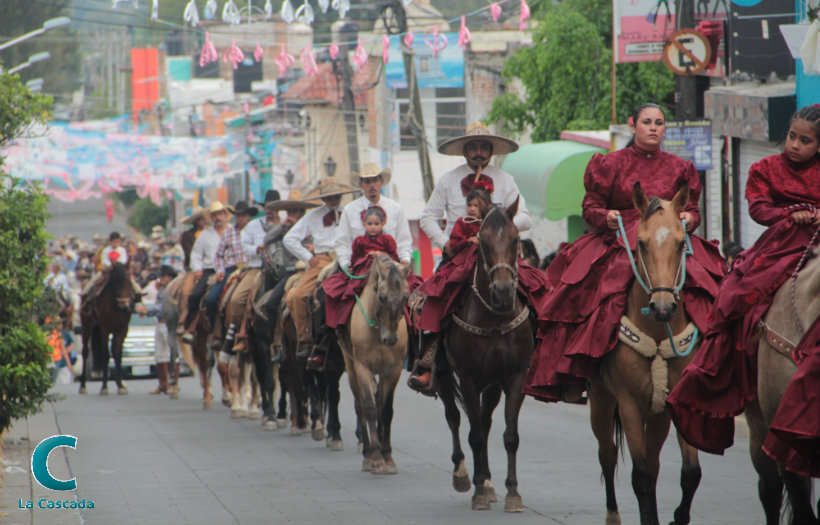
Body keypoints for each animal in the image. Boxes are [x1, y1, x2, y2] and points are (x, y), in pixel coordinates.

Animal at [79, 262, 135, 392]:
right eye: (117, 283)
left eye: (129, 282)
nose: (125, 306)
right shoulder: (105, 329)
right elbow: (105, 355)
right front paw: (104, 386)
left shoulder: (122, 329)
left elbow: (118, 354)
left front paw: (121, 386)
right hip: (87, 325)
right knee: (85, 352)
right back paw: (83, 385)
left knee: (113, 350)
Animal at [334, 252, 408, 472]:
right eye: (381, 297)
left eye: (405, 297)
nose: (391, 340)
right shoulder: (362, 368)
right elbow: (369, 409)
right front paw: (375, 456)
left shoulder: (393, 370)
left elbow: (386, 410)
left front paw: (387, 456)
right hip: (350, 366)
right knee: (359, 406)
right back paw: (367, 452)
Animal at [436, 199, 532, 510]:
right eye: (482, 242)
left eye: (515, 240)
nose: (502, 291)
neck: (494, 318)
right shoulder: (467, 378)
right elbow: (474, 435)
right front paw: (477, 491)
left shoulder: (515, 377)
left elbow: (509, 435)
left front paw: (512, 493)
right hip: (444, 376)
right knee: (455, 418)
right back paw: (465, 475)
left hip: (491, 384)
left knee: (485, 421)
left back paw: (488, 480)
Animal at [588, 181, 704, 524]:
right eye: (640, 242)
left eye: (681, 244)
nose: (662, 307)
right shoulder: (628, 403)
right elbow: (639, 475)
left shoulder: (678, 402)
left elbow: (690, 473)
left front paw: (678, 516)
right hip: (601, 400)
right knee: (608, 454)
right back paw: (612, 515)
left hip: (658, 415)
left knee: (653, 465)